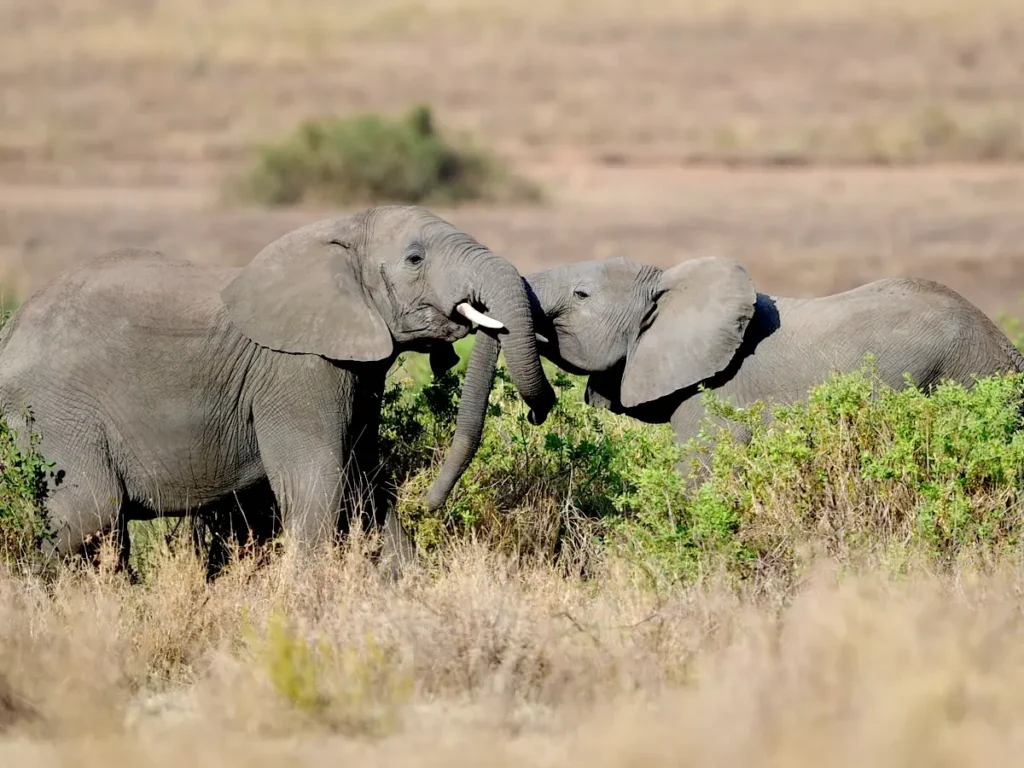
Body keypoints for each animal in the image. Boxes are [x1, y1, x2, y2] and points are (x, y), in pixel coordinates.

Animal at [0, 205, 555, 572]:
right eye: (415, 259)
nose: (432, 502)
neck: (338, 230)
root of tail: (11, 330)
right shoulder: (299, 371)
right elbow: (319, 481)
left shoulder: (357, 370)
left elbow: (365, 479)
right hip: (52, 412)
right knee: (88, 517)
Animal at [426, 254, 1024, 502]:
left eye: (581, 294)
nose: (426, 507)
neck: (669, 283)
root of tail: (1007, 347)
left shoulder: (714, 393)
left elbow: (700, 475)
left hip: (967, 370)